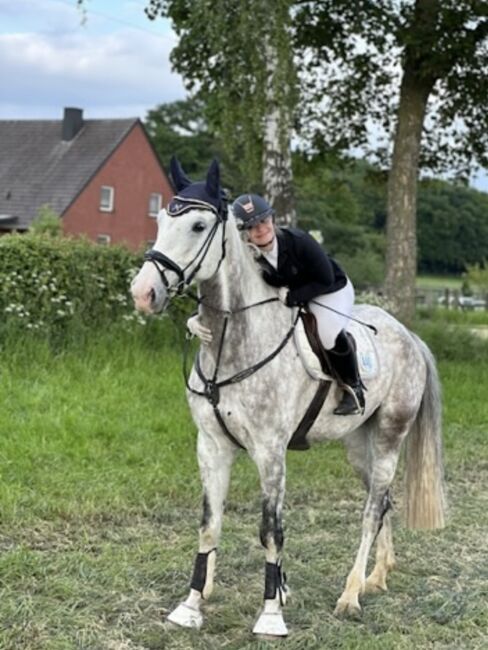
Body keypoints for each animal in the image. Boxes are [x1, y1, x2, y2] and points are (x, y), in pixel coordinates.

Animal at [131, 159, 446, 636]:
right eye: (161, 222)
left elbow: (270, 530)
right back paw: (377, 576)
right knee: (384, 500)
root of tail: (409, 335)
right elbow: (209, 525)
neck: (232, 344)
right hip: (359, 443)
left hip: (391, 433)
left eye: (199, 225)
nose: (143, 293)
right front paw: (191, 605)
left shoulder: (270, 450)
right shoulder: (212, 446)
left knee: (372, 508)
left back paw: (351, 595)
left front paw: (271, 613)